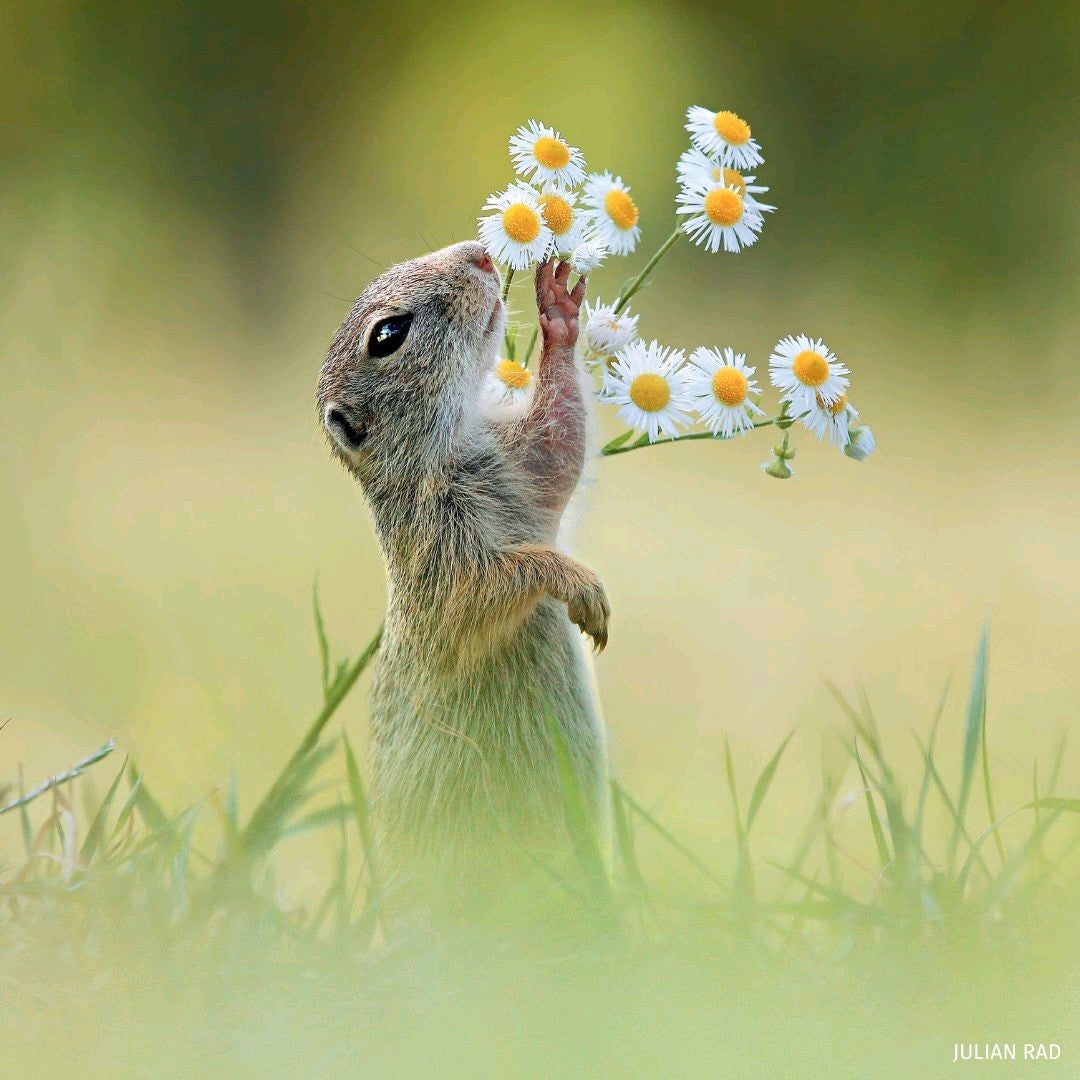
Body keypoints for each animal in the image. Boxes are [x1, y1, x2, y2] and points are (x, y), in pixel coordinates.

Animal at [315, 243, 613, 902]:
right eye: (387, 334)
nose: (478, 254)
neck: (447, 452)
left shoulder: (526, 465)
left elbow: (561, 443)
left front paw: (557, 307)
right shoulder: (441, 555)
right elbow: (492, 586)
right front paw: (578, 585)